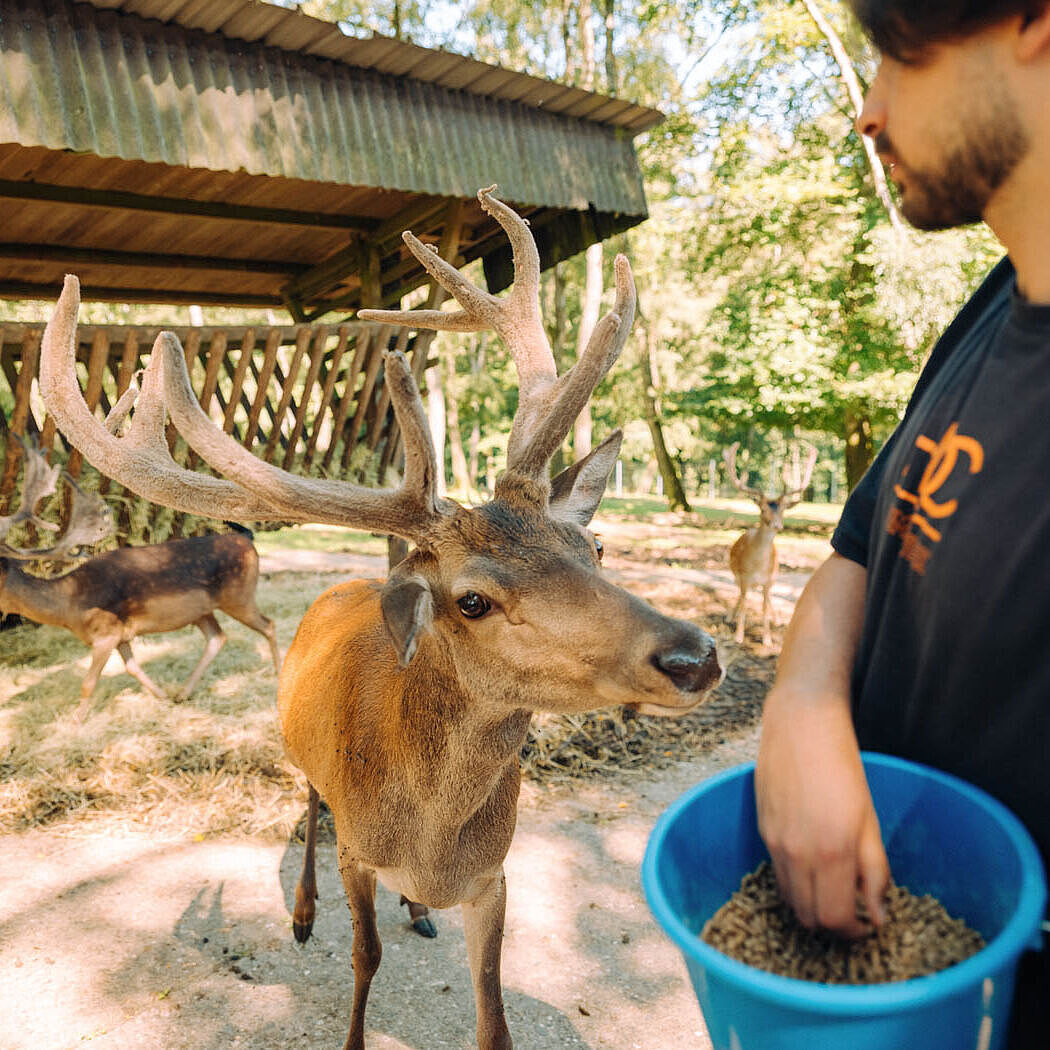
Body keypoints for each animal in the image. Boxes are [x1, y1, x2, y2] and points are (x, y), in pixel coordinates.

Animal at [0, 432, 279, 713]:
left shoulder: (106, 633)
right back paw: (182, 693)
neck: (70, 607)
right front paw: (162, 696)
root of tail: (247, 539)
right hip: (203, 610)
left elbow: (88, 684)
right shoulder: (120, 635)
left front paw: (75, 720)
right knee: (217, 637)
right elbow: (132, 668)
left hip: (239, 596)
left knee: (268, 624)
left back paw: (278, 674)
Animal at [38, 188, 722, 1050]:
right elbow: (364, 958)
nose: (695, 655)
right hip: (294, 740)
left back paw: (418, 909)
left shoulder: (495, 876)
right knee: (307, 801)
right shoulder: (358, 854)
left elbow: (493, 1016)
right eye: (472, 599)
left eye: (595, 545)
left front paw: (431, 925)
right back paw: (304, 912)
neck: (430, 839)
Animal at [722, 436, 818, 646]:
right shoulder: (744, 578)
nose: (777, 525)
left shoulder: (768, 581)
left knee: (768, 599)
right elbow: (744, 603)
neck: (758, 566)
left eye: (782, 510)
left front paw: (767, 639)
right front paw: (738, 635)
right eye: (763, 509)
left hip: (774, 577)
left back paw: (777, 619)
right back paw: (731, 616)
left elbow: (764, 607)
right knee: (740, 596)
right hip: (736, 575)